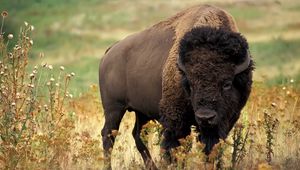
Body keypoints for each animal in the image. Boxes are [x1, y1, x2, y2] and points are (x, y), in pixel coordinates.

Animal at [98, 3, 253, 169]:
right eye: (190, 84)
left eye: (227, 84)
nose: (205, 117)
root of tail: (110, 51)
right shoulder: (176, 119)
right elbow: (175, 146)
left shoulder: (225, 120)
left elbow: (211, 147)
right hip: (114, 108)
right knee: (108, 135)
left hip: (141, 112)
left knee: (137, 135)